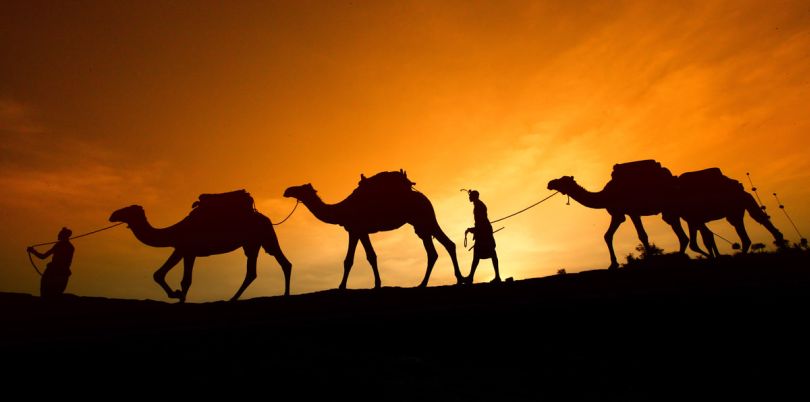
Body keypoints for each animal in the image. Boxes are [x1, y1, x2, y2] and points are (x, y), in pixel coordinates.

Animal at [109, 198, 292, 302]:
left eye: (128, 209)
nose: (112, 214)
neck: (174, 231)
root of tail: (265, 217)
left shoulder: (189, 250)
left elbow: (185, 280)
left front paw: (179, 297)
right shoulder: (181, 249)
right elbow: (159, 274)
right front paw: (176, 295)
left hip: (264, 236)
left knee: (279, 262)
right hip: (253, 242)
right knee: (259, 269)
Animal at [282, 173, 460, 288]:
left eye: (300, 188)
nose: (287, 190)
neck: (342, 210)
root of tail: (425, 199)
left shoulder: (356, 229)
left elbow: (356, 259)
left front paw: (343, 286)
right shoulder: (358, 231)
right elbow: (363, 258)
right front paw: (375, 283)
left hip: (425, 218)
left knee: (445, 245)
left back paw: (454, 279)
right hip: (420, 224)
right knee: (437, 249)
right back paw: (426, 283)